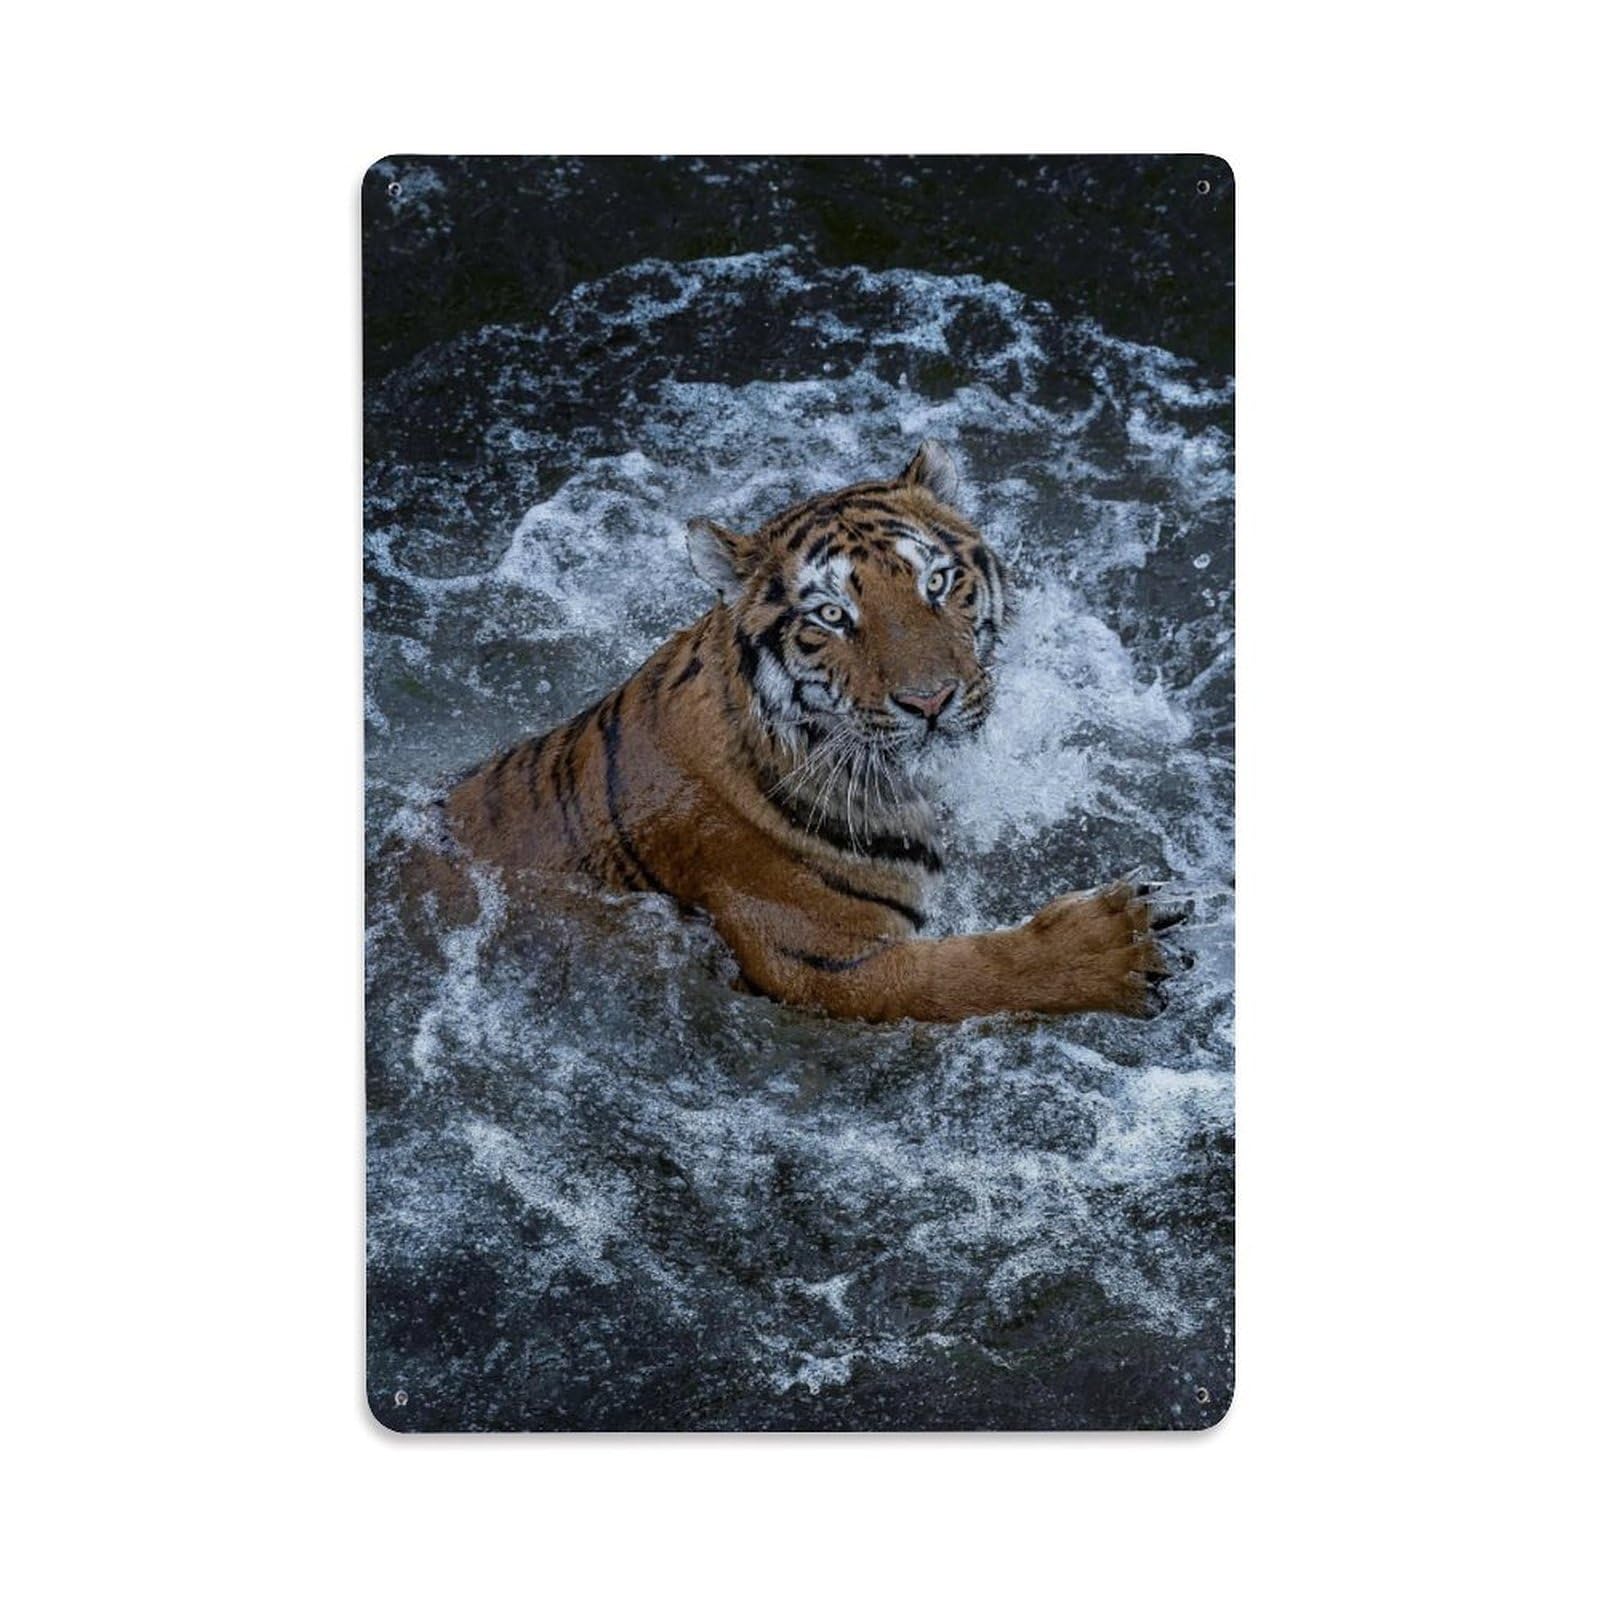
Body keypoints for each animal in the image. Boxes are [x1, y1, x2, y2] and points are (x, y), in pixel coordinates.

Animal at [439, 441, 1183, 1022]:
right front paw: (1118, 946)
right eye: (830, 615)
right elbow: (965, 975)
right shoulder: (823, 967)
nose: (931, 699)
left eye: (938, 582)